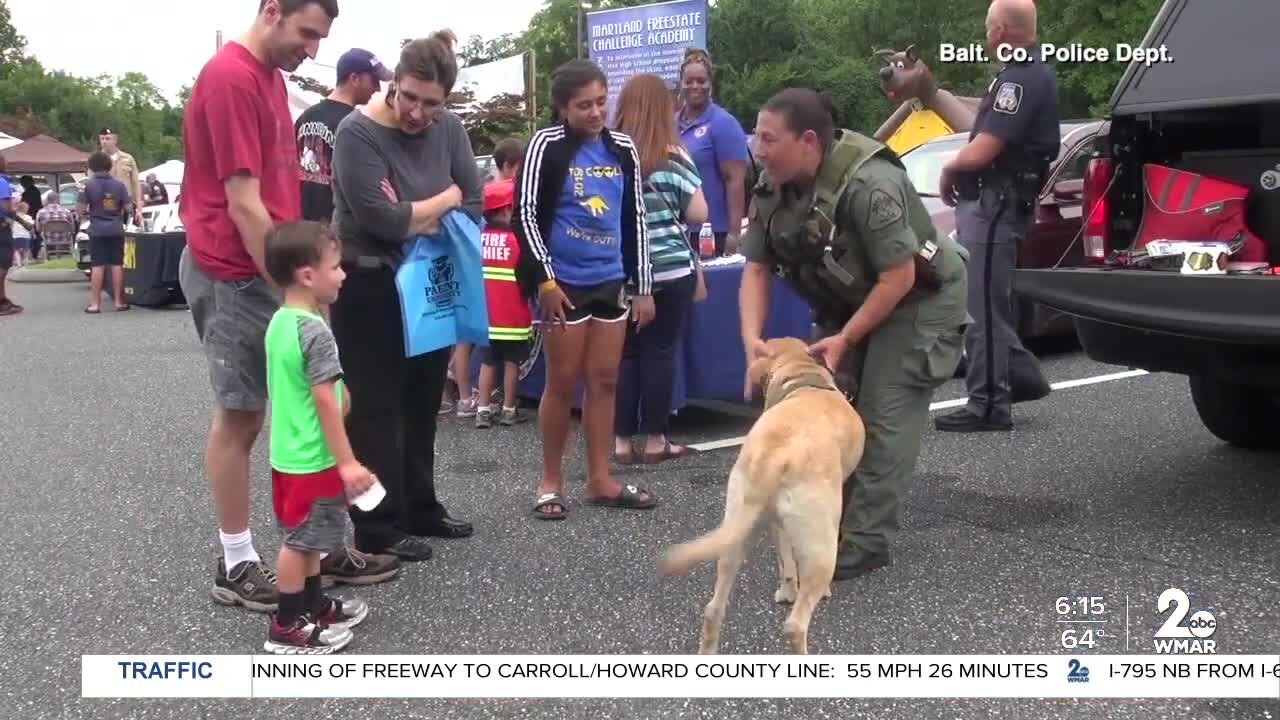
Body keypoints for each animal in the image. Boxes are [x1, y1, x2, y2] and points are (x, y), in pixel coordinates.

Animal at [665, 335, 865, 650]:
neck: (801, 378)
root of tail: (776, 457)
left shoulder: (775, 524)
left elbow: (786, 561)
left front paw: (786, 589)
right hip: (821, 546)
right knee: (795, 625)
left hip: (736, 531)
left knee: (713, 609)